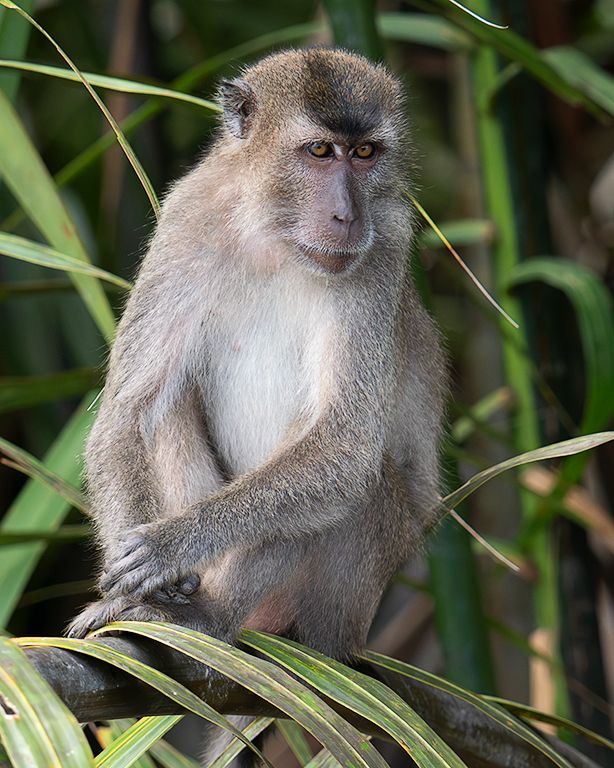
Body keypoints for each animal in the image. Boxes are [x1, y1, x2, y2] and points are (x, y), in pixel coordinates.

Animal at [68, 47, 446, 710]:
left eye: (365, 153)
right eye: (320, 152)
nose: (346, 215)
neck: (277, 237)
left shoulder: (385, 248)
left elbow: (343, 448)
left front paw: (172, 544)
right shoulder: (188, 218)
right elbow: (129, 410)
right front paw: (128, 587)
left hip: (345, 602)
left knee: (356, 479)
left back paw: (211, 619)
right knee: (166, 406)